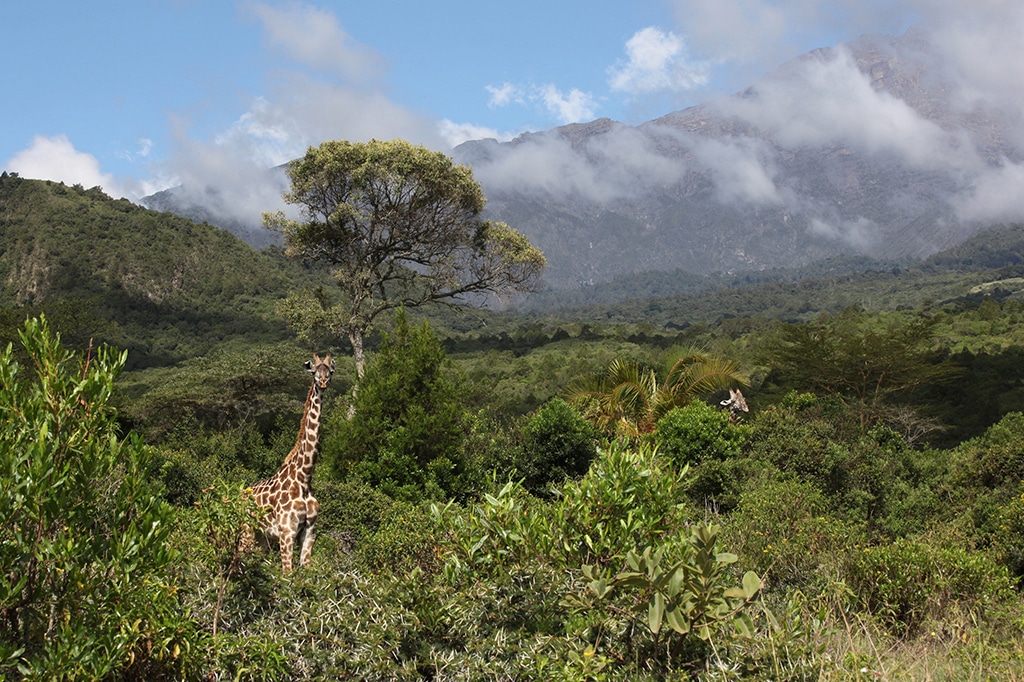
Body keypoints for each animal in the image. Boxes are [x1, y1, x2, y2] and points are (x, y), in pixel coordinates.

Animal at [249, 353, 335, 572]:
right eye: (313, 371)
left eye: (330, 371)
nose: (323, 382)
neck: (304, 478)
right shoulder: (287, 531)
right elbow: (287, 573)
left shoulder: (309, 532)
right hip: (247, 530)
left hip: (263, 539)